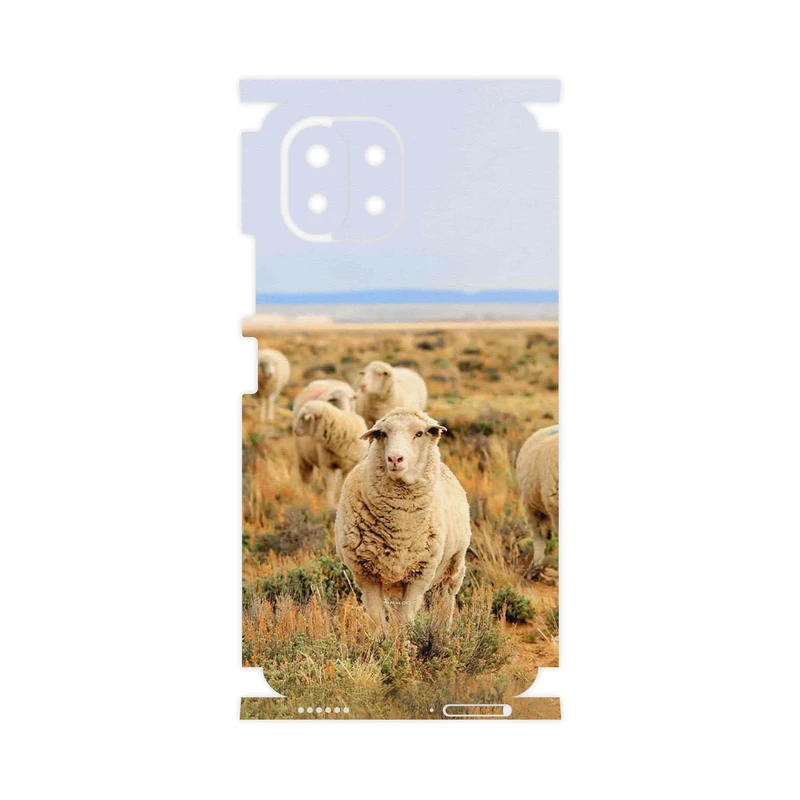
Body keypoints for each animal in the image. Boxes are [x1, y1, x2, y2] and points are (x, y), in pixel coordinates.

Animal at [335, 408, 471, 633]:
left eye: (419, 433)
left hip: (453, 566)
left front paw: (403, 642)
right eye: (383, 434)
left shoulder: (419, 575)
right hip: (394, 582)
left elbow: (405, 621)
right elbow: (377, 621)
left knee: (444, 600)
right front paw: (382, 641)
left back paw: (441, 633)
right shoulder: (366, 575)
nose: (395, 458)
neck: (400, 527)